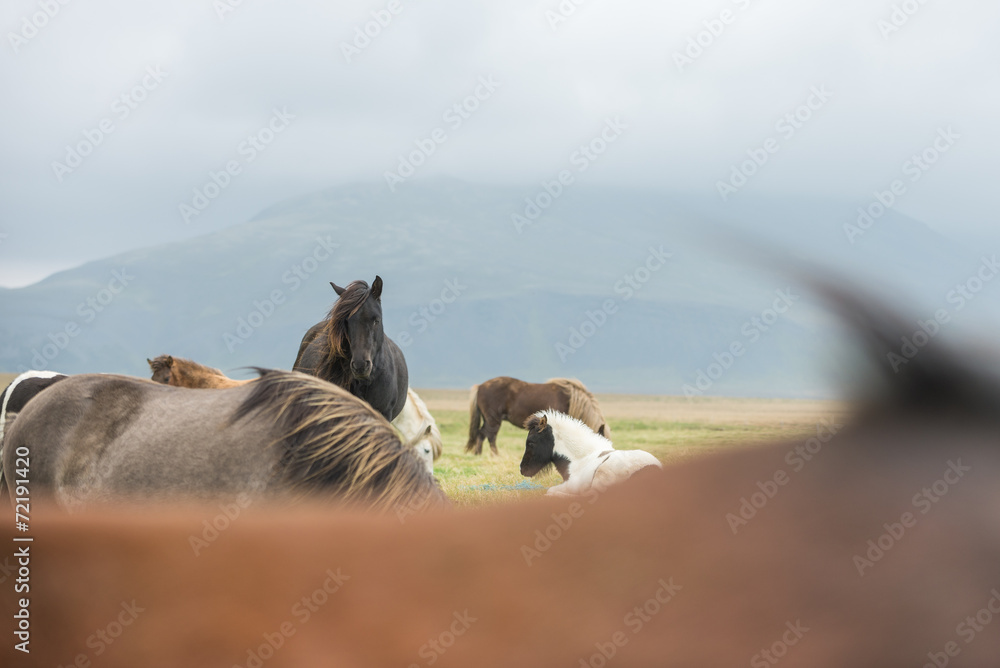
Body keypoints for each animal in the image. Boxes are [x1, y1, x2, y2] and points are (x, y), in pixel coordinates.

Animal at [466, 376, 609, 455]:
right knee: (489, 436)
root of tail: (480, 386)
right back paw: (494, 455)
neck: (570, 400)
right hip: (493, 420)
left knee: (482, 434)